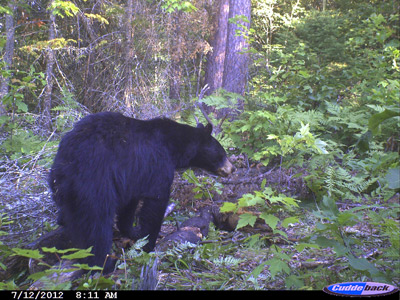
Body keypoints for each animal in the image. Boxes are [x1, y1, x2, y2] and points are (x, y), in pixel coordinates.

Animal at [48, 112, 234, 272]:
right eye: (222, 152)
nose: (231, 168)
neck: (173, 146)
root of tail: (66, 164)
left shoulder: (132, 178)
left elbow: (129, 205)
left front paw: (131, 232)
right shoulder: (157, 164)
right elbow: (155, 202)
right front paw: (148, 243)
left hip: (64, 189)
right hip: (94, 183)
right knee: (97, 223)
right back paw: (105, 263)